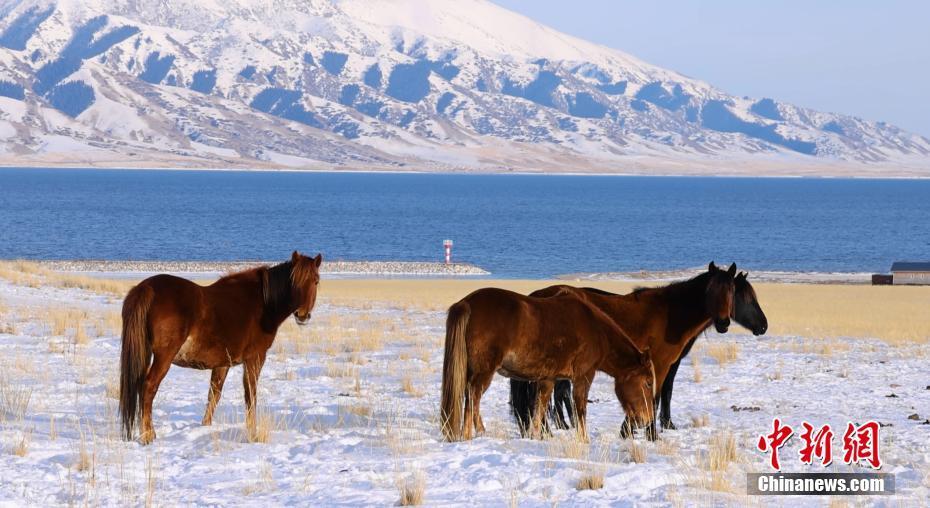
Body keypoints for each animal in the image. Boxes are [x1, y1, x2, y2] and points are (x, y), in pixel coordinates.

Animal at [119, 252, 322, 442]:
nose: (302, 315)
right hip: (163, 358)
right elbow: (250, 395)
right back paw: (148, 435)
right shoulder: (255, 359)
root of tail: (147, 288)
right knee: (148, 387)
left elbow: (214, 396)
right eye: (293, 281)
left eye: (316, 281)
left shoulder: (222, 363)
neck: (263, 304)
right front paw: (252, 432)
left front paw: (205, 427)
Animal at [438, 288, 656, 442]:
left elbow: (540, 408)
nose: (647, 419)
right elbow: (580, 408)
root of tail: (466, 303)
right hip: (483, 372)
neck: (596, 329)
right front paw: (584, 440)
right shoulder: (584, 376)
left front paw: (535, 436)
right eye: (647, 382)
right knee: (473, 397)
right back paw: (470, 434)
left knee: (470, 397)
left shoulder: (548, 379)